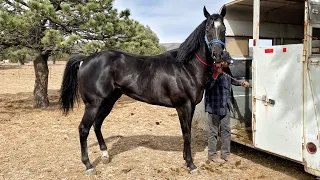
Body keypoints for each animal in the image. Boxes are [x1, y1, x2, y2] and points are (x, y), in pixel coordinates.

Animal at [59, 5, 228, 174]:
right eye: (207, 29)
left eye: (224, 29)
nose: (218, 54)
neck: (186, 67)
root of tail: (86, 59)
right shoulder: (183, 106)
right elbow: (186, 133)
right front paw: (191, 165)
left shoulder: (190, 106)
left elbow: (187, 132)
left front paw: (186, 159)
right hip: (93, 104)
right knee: (83, 129)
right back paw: (88, 165)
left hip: (108, 101)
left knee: (97, 124)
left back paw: (105, 154)